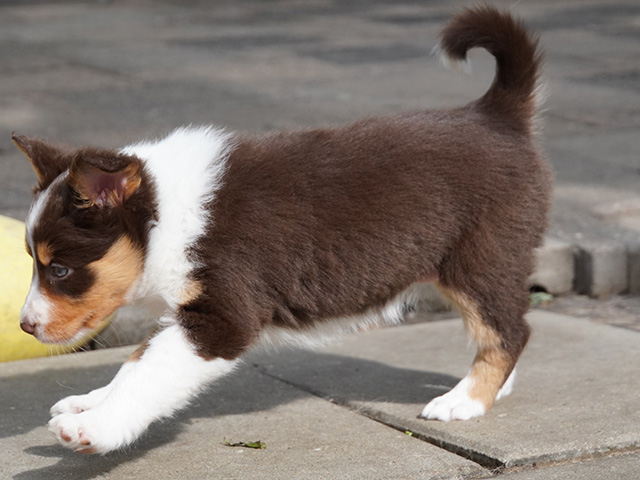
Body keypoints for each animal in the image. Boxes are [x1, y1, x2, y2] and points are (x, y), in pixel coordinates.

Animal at [13, 5, 551, 454]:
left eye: (60, 270)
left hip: (480, 258)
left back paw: (465, 400)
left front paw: (93, 427)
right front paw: (90, 400)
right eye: (36, 263)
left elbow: (148, 373)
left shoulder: (221, 318)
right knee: (507, 328)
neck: (164, 214)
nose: (24, 327)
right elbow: (135, 362)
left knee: (512, 330)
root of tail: (494, 114)